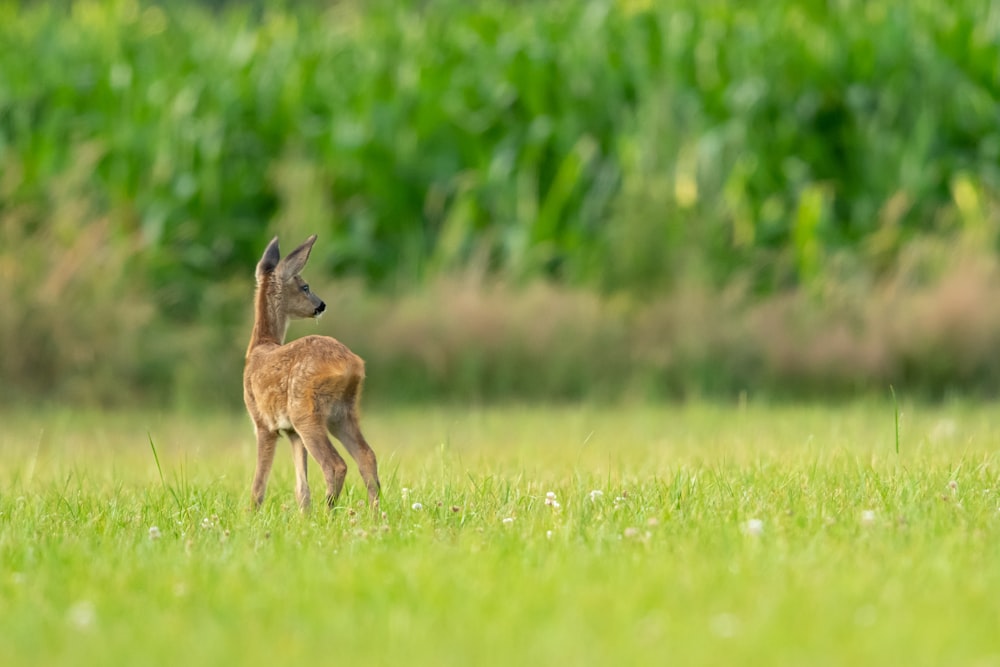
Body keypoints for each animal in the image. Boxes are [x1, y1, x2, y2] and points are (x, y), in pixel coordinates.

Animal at [244, 235, 380, 512]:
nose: (321, 305)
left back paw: (329, 512)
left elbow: (258, 486)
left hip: (306, 412)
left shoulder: (262, 422)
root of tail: (351, 364)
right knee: (367, 456)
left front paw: (250, 514)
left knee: (336, 464)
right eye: (305, 287)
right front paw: (304, 515)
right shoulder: (291, 432)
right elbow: (301, 489)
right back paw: (374, 513)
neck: (259, 347)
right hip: (343, 413)